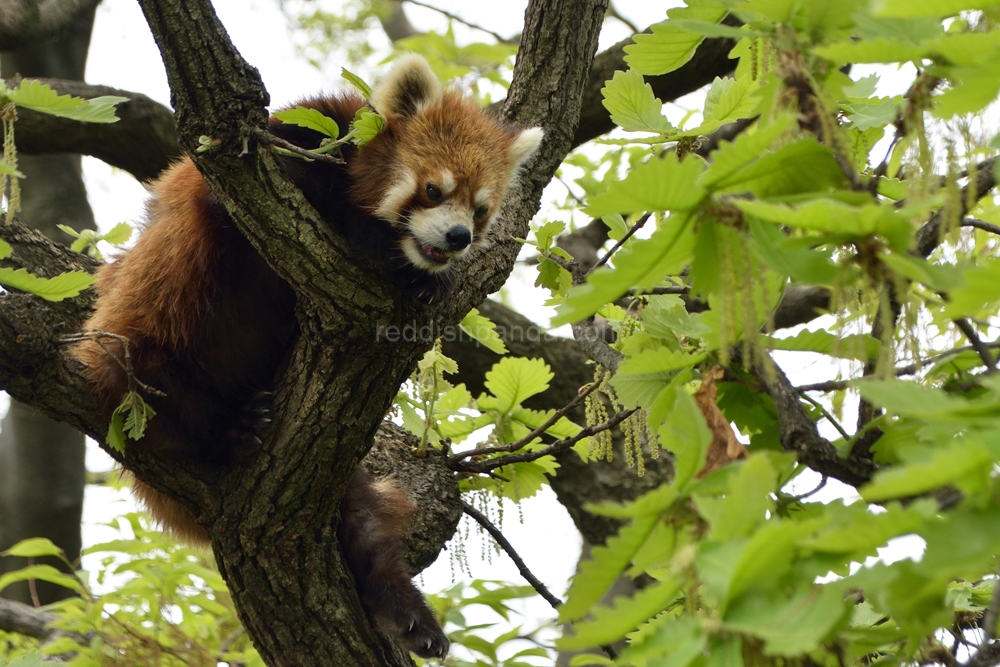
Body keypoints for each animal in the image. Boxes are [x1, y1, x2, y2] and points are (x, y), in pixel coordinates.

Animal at [74, 54, 544, 660]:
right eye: (433, 191)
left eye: (482, 209)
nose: (459, 237)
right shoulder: (277, 151)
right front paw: (385, 247)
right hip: (141, 334)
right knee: (168, 397)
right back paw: (231, 432)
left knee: (364, 521)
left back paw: (404, 612)